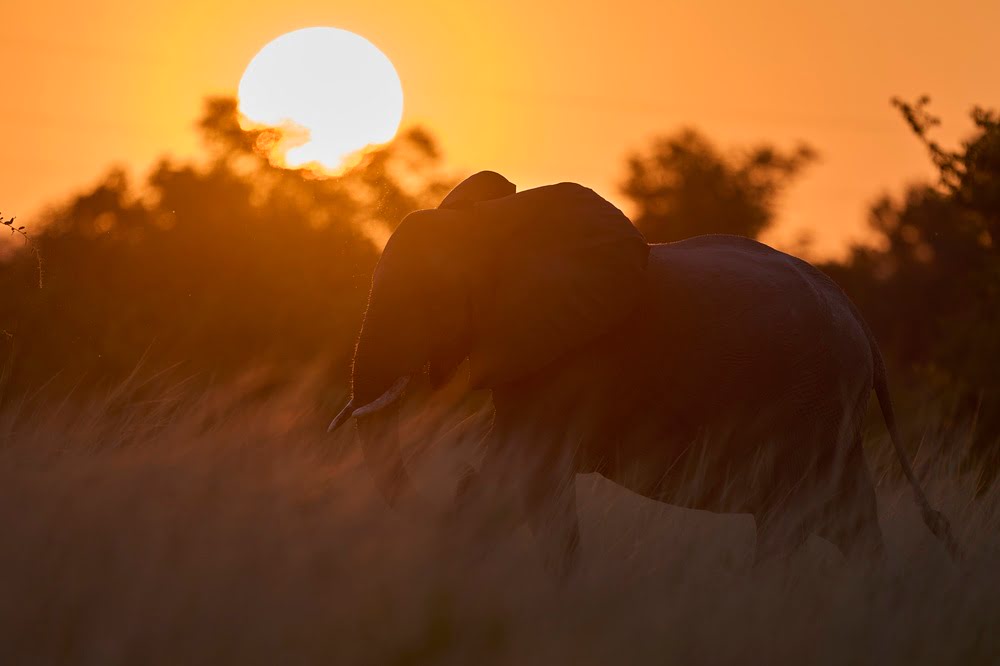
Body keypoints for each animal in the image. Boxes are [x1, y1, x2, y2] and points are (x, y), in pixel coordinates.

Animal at [328, 170, 959, 578]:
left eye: (429, 295)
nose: (452, 479)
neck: (500, 225)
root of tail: (863, 325)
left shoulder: (576, 357)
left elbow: (530, 476)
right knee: (847, 519)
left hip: (809, 406)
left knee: (792, 521)